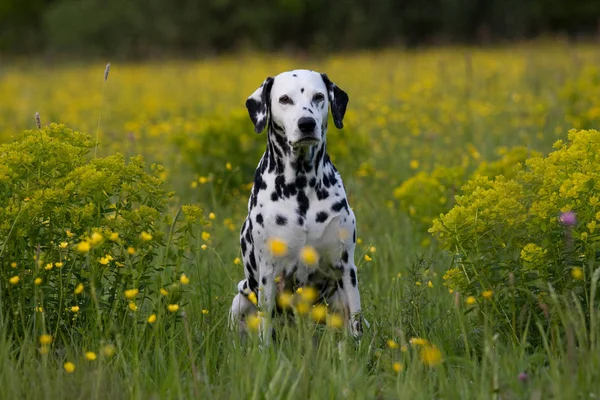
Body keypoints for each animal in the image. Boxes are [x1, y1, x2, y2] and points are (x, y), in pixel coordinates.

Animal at [229, 69, 360, 344]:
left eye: (319, 96)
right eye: (285, 99)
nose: (306, 124)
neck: (301, 186)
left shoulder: (346, 268)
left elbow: (356, 323)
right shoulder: (268, 274)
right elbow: (265, 331)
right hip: (241, 298)